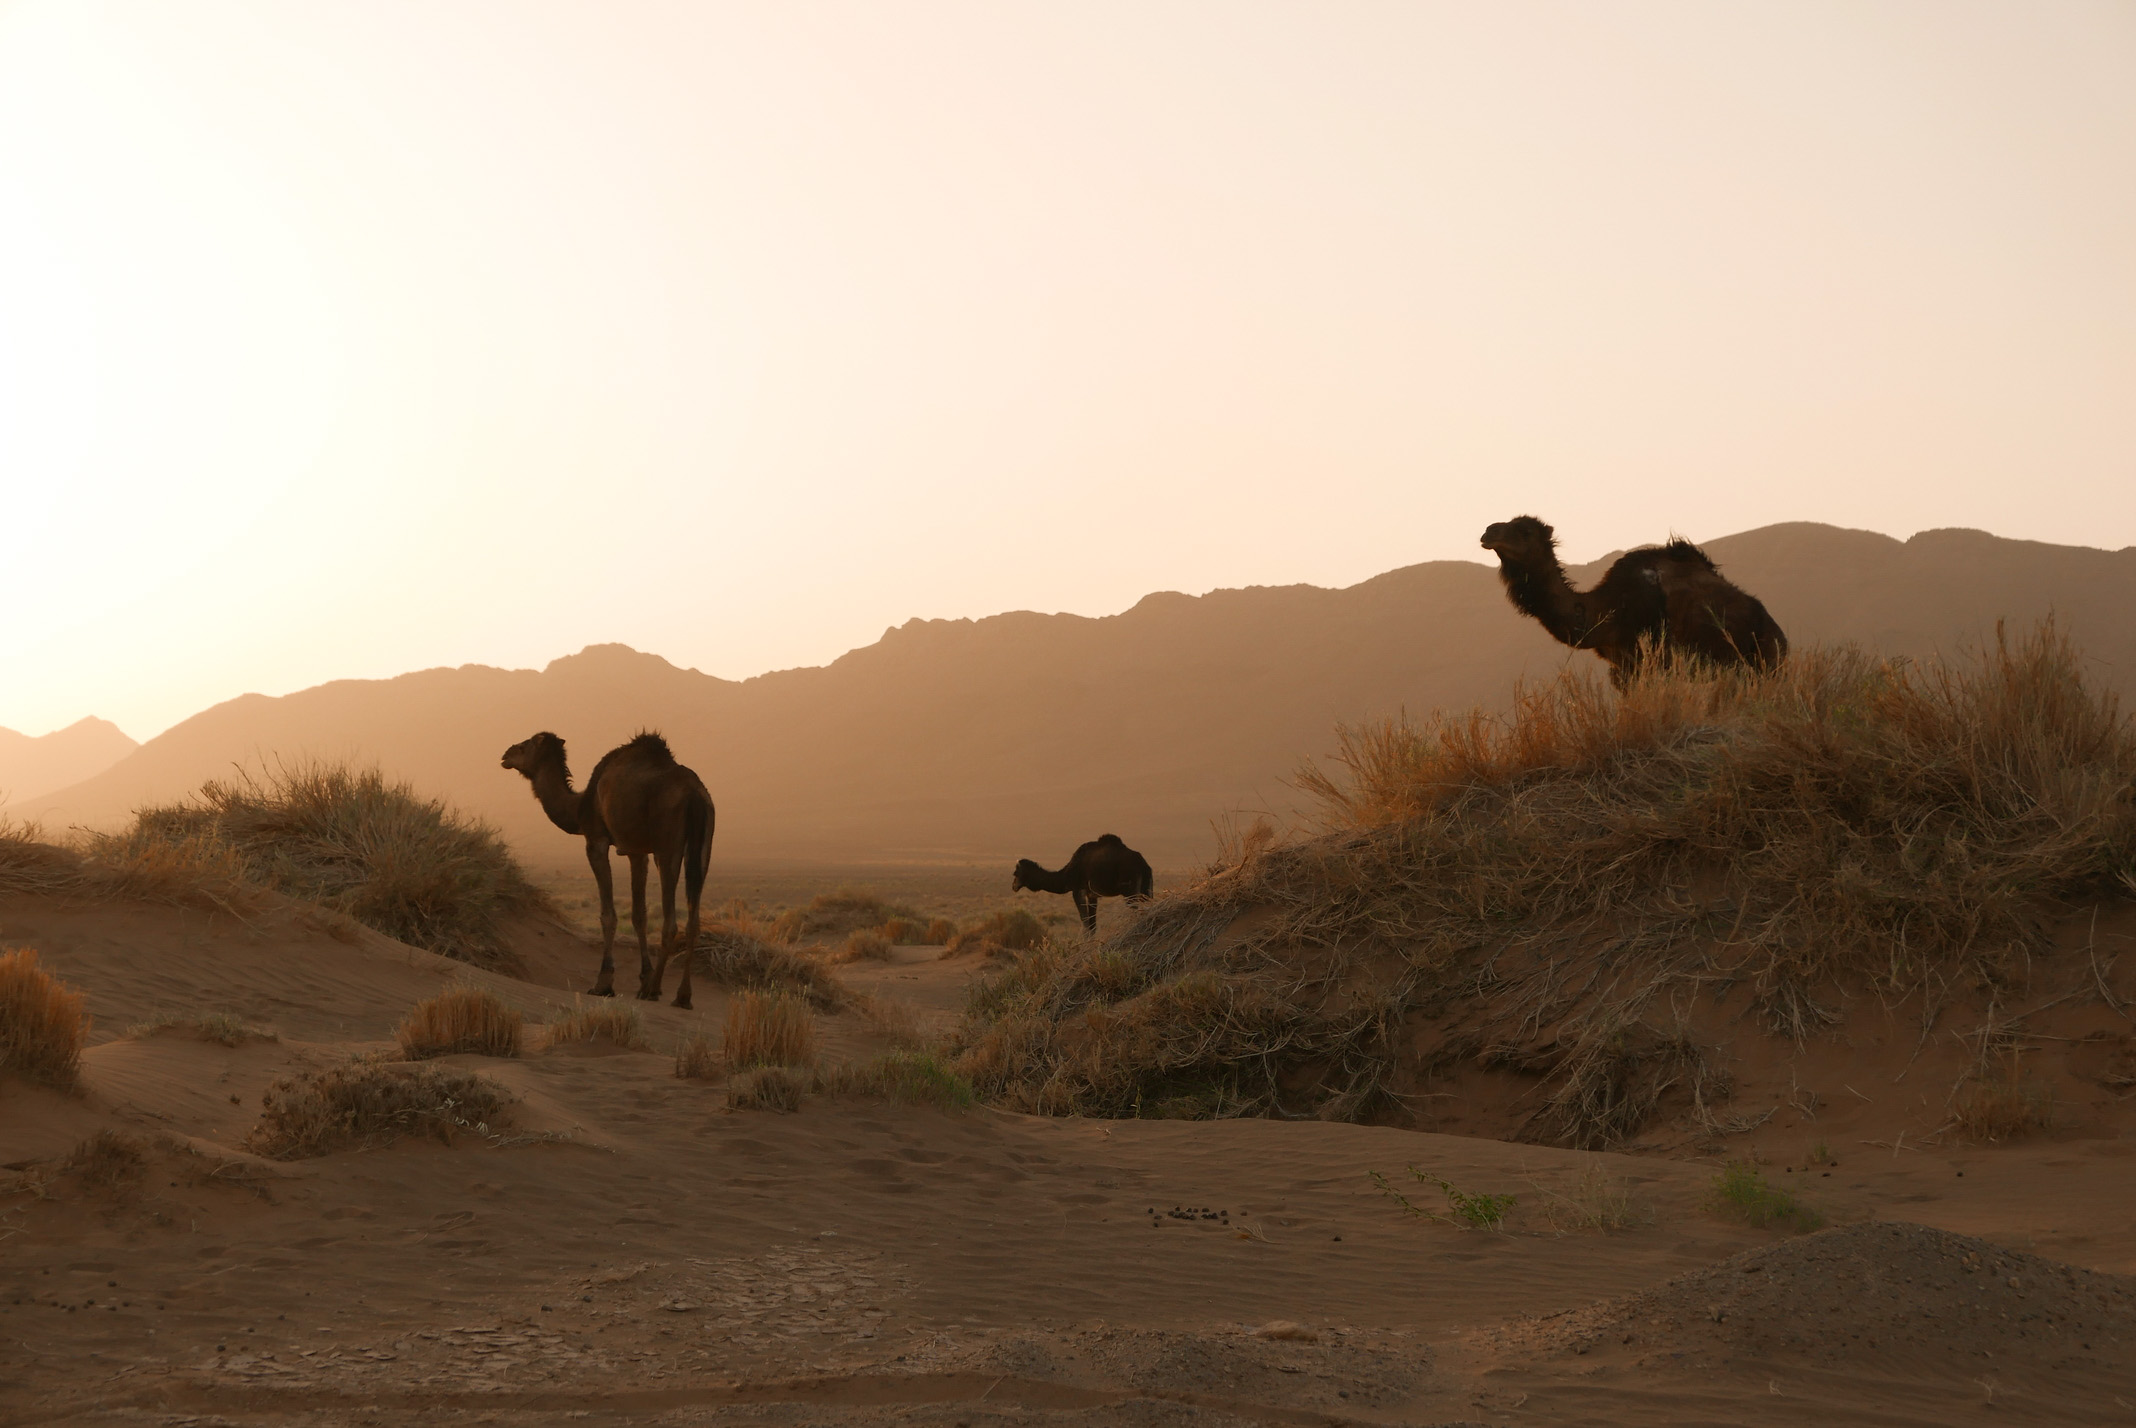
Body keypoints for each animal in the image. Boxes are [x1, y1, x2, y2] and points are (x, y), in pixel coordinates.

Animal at [499, 730, 717, 1007]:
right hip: (704, 846)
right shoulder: (636, 851)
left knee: (671, 922)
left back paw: (654, 990)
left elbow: (608, 914)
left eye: (525, 745)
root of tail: (695, 795)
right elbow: (639, 915)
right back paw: (682, 995)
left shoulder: (596, 841)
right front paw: (643, 977)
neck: (580, 805)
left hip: (668, 845)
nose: (506, 755)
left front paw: (604, 983)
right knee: (693, 920)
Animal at [1012, 836, 1153, 934]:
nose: (1013, 886)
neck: (1067, 875)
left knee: (1135, 912)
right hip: (1146, 890)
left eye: (1015, 873)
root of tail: (1144, 864)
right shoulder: (1092, 895)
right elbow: (1092, 926)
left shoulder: (1078, 890)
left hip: (1130, 890)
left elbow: (1085, 925)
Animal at [1486, 514, 1785, 687]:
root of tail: (1778, 632)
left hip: (1764, 660)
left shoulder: (1652, 659)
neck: (1602, 609)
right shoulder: (1621, 665)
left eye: (1525, 531)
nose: (1489, 532)